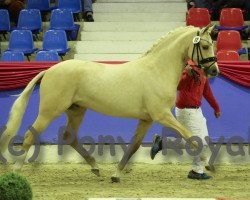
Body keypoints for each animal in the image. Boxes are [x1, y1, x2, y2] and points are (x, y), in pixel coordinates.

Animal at [0, 25, 219, 183]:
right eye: (205, 46)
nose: (215, 70)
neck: (157, 70)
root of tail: (50, 70)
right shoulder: (162, 115)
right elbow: (191, 137)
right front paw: (207, 163)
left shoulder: (147, 119)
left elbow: (134, 146)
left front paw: (116, 174)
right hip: (49, 111)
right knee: (29, 135)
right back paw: (17, 170)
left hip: (76, 111)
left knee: (69, 136)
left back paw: (96, 167)